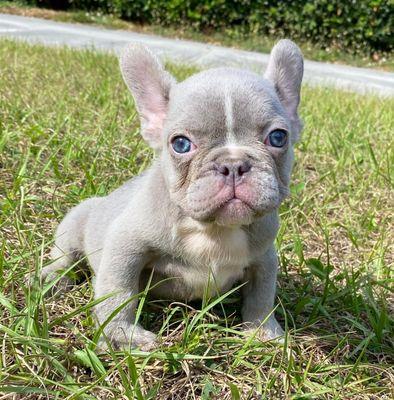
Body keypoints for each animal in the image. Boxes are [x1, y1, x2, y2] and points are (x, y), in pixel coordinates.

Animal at [40, 39, 304, 350]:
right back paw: (51, 278)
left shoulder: (265, 257)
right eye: (180, 144)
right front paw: (121, 336)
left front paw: (265, 332)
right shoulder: (125, 245)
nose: (233, 164)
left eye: (278, 137)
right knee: (65, 257)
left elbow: (261, 295)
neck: (214, 230)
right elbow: (118, 290)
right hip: (74, 223)